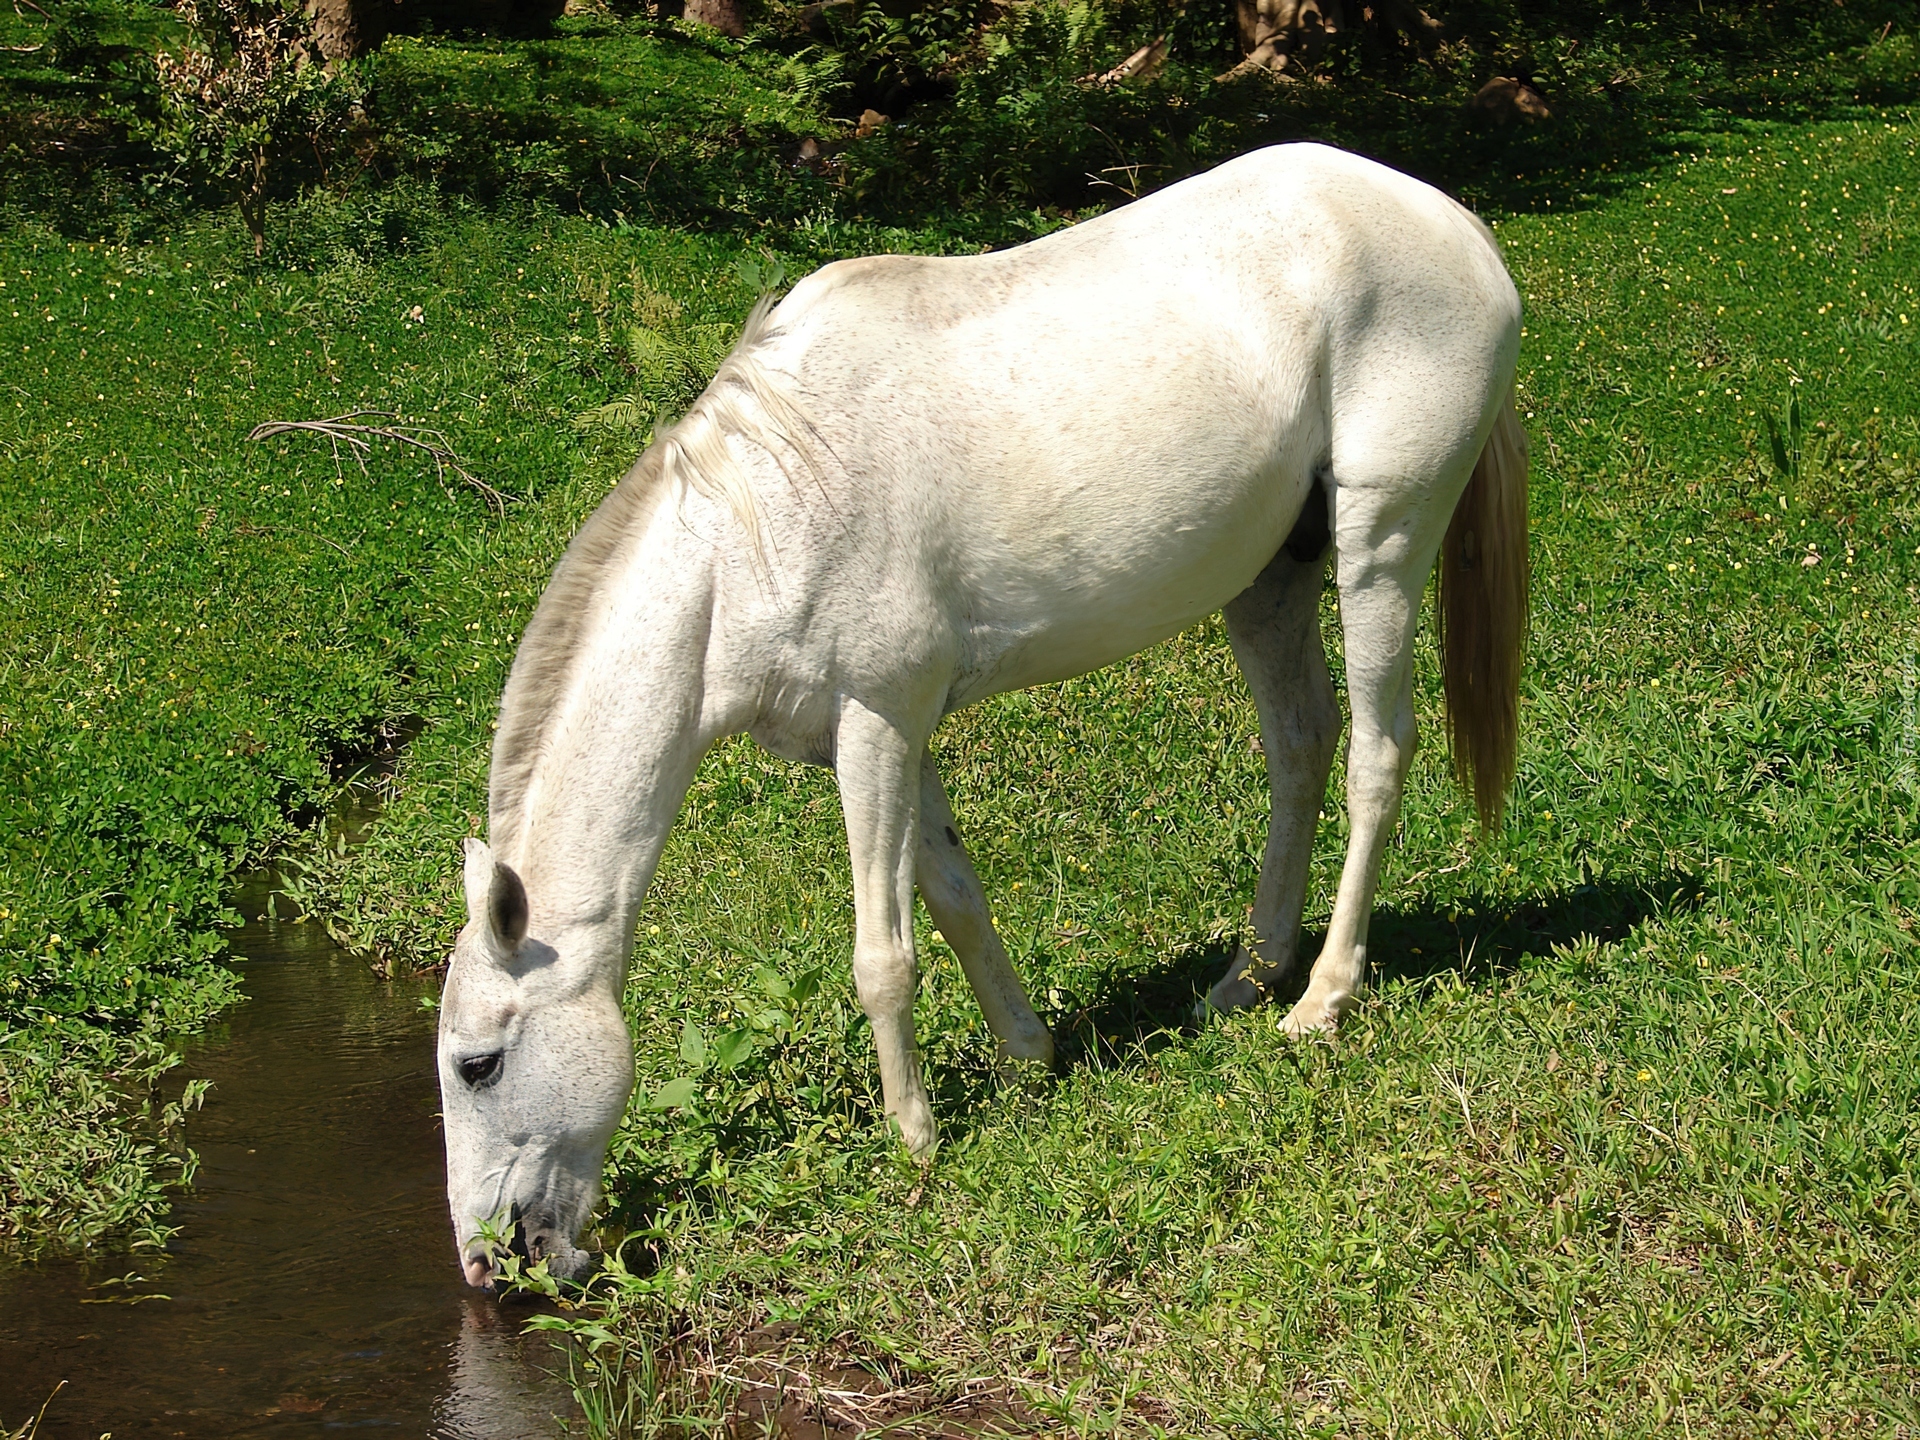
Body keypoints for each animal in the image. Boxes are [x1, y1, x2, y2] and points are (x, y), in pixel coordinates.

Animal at [439, 144, 1528, 1282]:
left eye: (479, 1064)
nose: (487, 1264)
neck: (759, 529)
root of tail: (1455, 224)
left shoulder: (875, 724)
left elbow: (883, 954)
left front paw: (915, 1140)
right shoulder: (883, 738)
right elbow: (956, 900)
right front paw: (1028, 1055)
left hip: (1381, 548)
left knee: (1374, 758)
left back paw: (1322, 1000)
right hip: (1271, 581)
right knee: (1300, 748)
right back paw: (1248, 978)